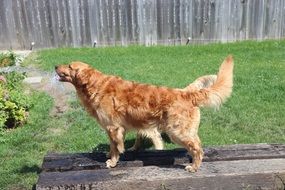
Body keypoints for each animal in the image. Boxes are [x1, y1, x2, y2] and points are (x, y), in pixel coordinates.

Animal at [55, 55, 233, 172]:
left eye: (70, 66)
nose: (55, 66)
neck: (96, 85)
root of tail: (186, 93)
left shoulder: (113, 128)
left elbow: (116, 148)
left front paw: (112, 162)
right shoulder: (115, 129)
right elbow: (113, 146)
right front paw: (110, 155)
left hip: (177, 132)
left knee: (198, 149)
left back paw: (194, 167)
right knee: (197, 145)